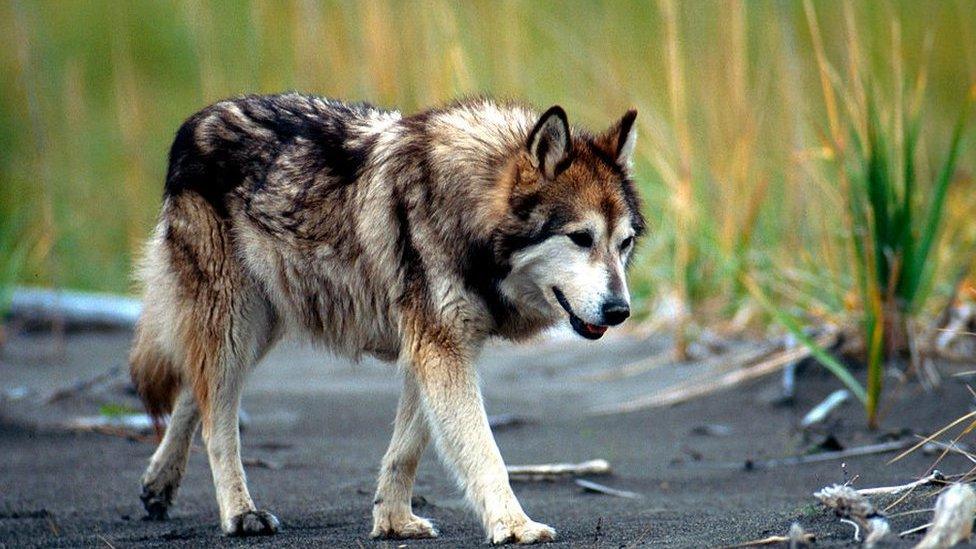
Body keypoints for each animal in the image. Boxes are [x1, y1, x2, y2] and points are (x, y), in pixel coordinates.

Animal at [132, 92, 648, 540]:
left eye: (623, 244)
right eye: (581, 238)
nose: (620, 311)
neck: (464, 209)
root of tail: (196, 119)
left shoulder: (438, 347)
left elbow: (406, 450)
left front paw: (393, 522)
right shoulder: (441, 348)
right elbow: (485, 453)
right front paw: (515, 526)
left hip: (261, 326)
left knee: (193, 393)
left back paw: (159, 485)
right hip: (237, 325)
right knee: (217, 422)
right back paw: (240, 514)